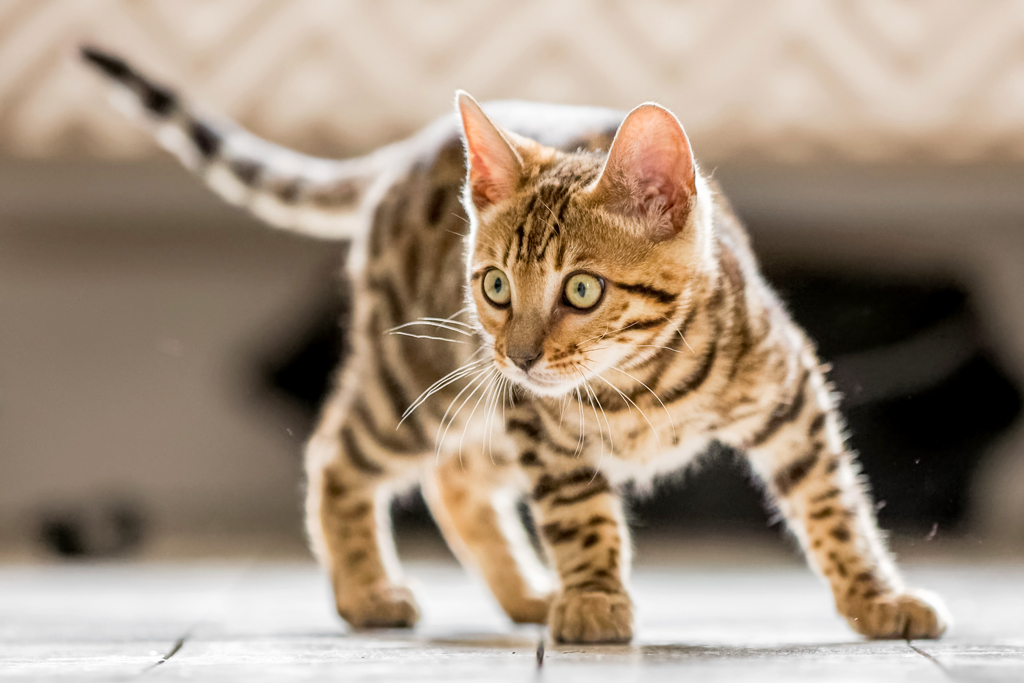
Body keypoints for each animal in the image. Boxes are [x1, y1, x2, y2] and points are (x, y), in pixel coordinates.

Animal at [81, 45, 950, 643]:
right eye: (496, 285)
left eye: (582, 290)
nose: (523, 353)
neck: (643, 381)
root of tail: (409, 152)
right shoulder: (544, 428)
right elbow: (579, 511)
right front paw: (594, 594)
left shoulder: (791, 394)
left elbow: (834, 502)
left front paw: (875, 596)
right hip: (424, 377)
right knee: (338, 453)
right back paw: (367, 591)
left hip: (483, 402)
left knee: (455, 479)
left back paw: (526, 591)